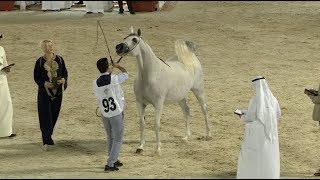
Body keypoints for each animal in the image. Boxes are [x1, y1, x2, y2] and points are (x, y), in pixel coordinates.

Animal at [115, 27, 212, 156]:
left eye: (135, 40)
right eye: (124, 38)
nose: (118, 47)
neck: (151, 74)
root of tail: (192, 56)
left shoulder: (158, 104)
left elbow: (157, 125)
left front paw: (158, 149)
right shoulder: (140, 103)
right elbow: (142, 124)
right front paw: (140, 147)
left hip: (199, 90)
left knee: (204, 109)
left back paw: (208, 135)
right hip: (180, 96)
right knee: (187, 111)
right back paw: (186, 137)